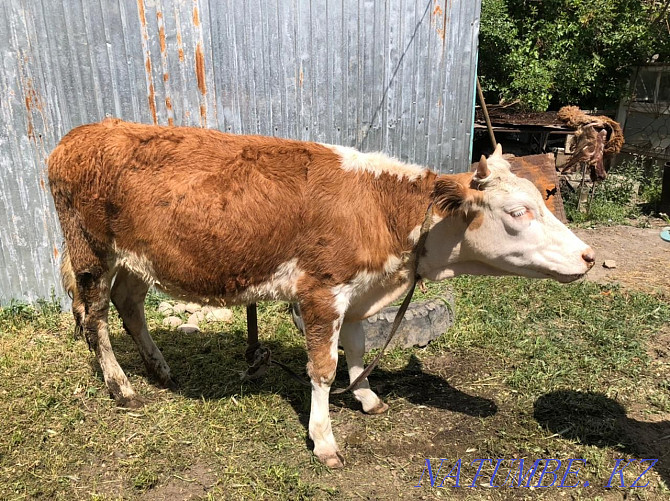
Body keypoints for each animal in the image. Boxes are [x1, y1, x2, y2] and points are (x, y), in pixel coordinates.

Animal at [47, 119, 596, 466]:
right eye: (518, 211)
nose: (589, 256)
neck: (381, 210)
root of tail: (81, 134)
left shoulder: (356, 293)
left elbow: (356, 346)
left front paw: (367, 397)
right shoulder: (321, 290)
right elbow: (323, 368)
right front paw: (325, 439)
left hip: (140, 257)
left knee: (130, 306)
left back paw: (160, 368)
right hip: (91, 253)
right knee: (93, 317)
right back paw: (122, 386)